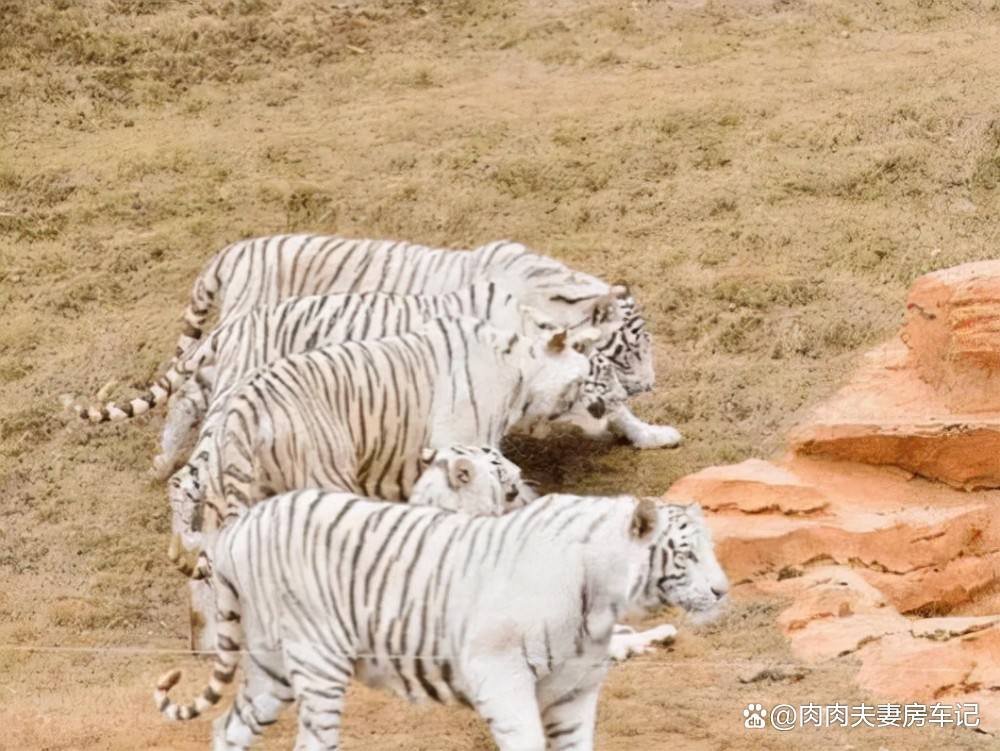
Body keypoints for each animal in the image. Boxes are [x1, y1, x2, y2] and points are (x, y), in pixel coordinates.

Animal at [153, 493, 727, 751]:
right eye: (688, 554)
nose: (723, 590)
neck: (604, 604)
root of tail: (236, 528)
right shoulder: (500, 677)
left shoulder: (574, 691)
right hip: (318, 664)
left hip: (271, 668)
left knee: (228, 727)